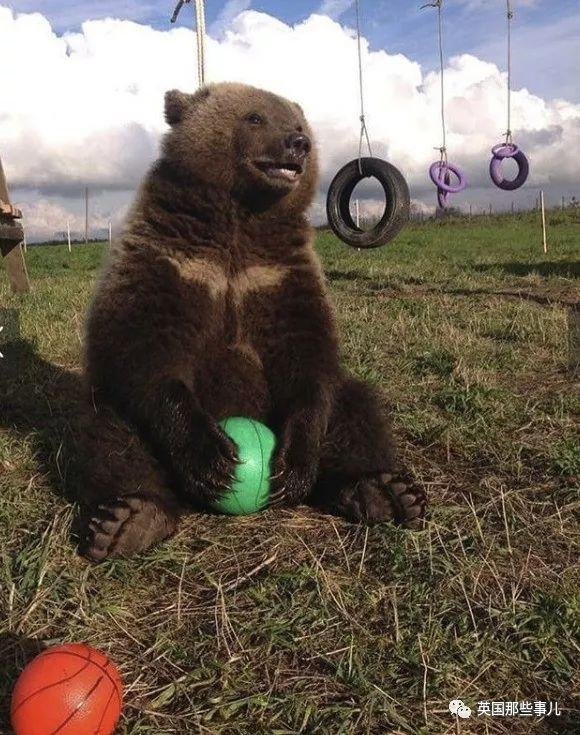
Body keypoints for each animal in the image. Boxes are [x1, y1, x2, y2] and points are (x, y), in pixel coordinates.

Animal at [79, 82, 426, 561]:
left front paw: (293, 469)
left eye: (297, 124)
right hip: (124, 417)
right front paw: (214, 462)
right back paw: (129, 517)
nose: (298, 144)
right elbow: (143, 347)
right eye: (255, 117)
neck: (240, 220)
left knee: (356, 405)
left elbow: (307, 356)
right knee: (108, 428)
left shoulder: (277, 273)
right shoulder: (171, 259)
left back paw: (384, 491)